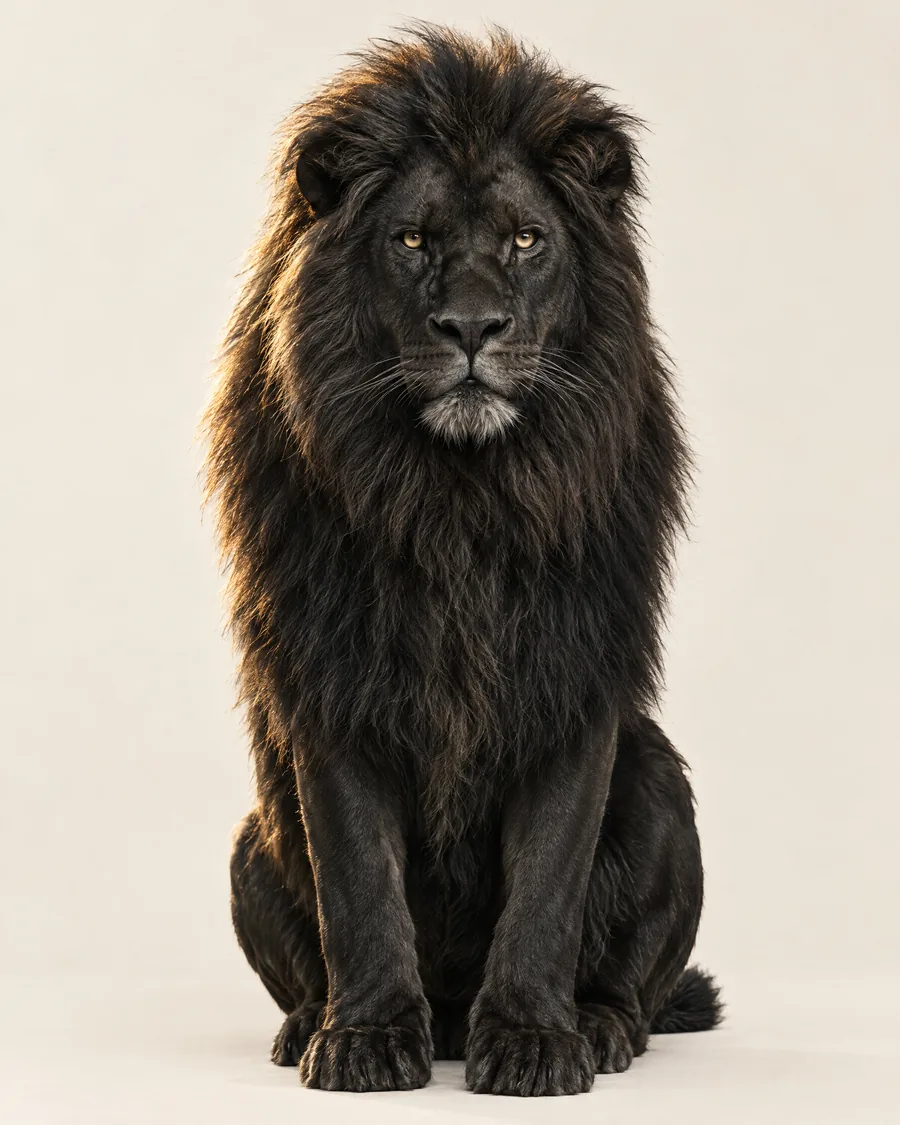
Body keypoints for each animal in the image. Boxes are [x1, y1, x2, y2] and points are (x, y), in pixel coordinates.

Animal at [204, 24, 721, 1097]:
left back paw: (596, 1027)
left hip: (660, 784)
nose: (474, 328)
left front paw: (532, 1043)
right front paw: (362, 1040)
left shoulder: (573, 682)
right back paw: (308, 1024)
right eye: (412, 241)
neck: (459, 502)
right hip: (246, 838)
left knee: (639, 991)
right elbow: (358, 879)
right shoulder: (332, 685)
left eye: (526, 240)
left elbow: (550, 884)